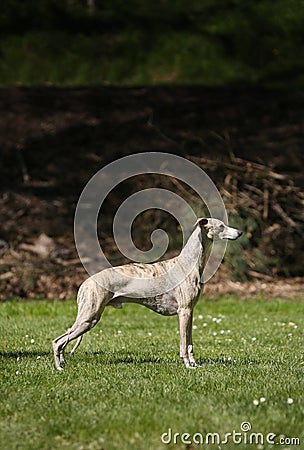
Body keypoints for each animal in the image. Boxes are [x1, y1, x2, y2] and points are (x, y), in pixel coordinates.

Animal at [52, 218, 242, 370]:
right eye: (221, 226)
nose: (240, 232)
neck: (188, 264)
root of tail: (85, 283)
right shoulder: (184, 311)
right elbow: (183, 344)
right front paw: (188, 365)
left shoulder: (190, 311)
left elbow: (189, 343)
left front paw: (195, 364)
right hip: (89, 317)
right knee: (57, 341)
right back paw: (59, 368)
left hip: (89, 318)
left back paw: (62, 364)